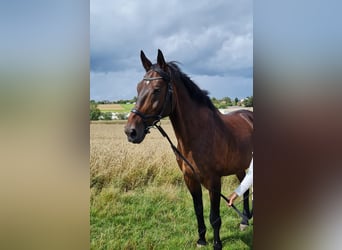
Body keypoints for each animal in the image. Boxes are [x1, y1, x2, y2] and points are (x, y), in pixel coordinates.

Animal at [124, 49, 252, 249]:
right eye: (138, 88)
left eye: (157, 89)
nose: (131, 131)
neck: (197, 137)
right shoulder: (190, 179)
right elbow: (198, 210)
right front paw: (201, 240)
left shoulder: (214, 181)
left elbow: (215, 217)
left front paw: (217, 244)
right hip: (239, 166)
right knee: (244, 188)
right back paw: (245, 221)